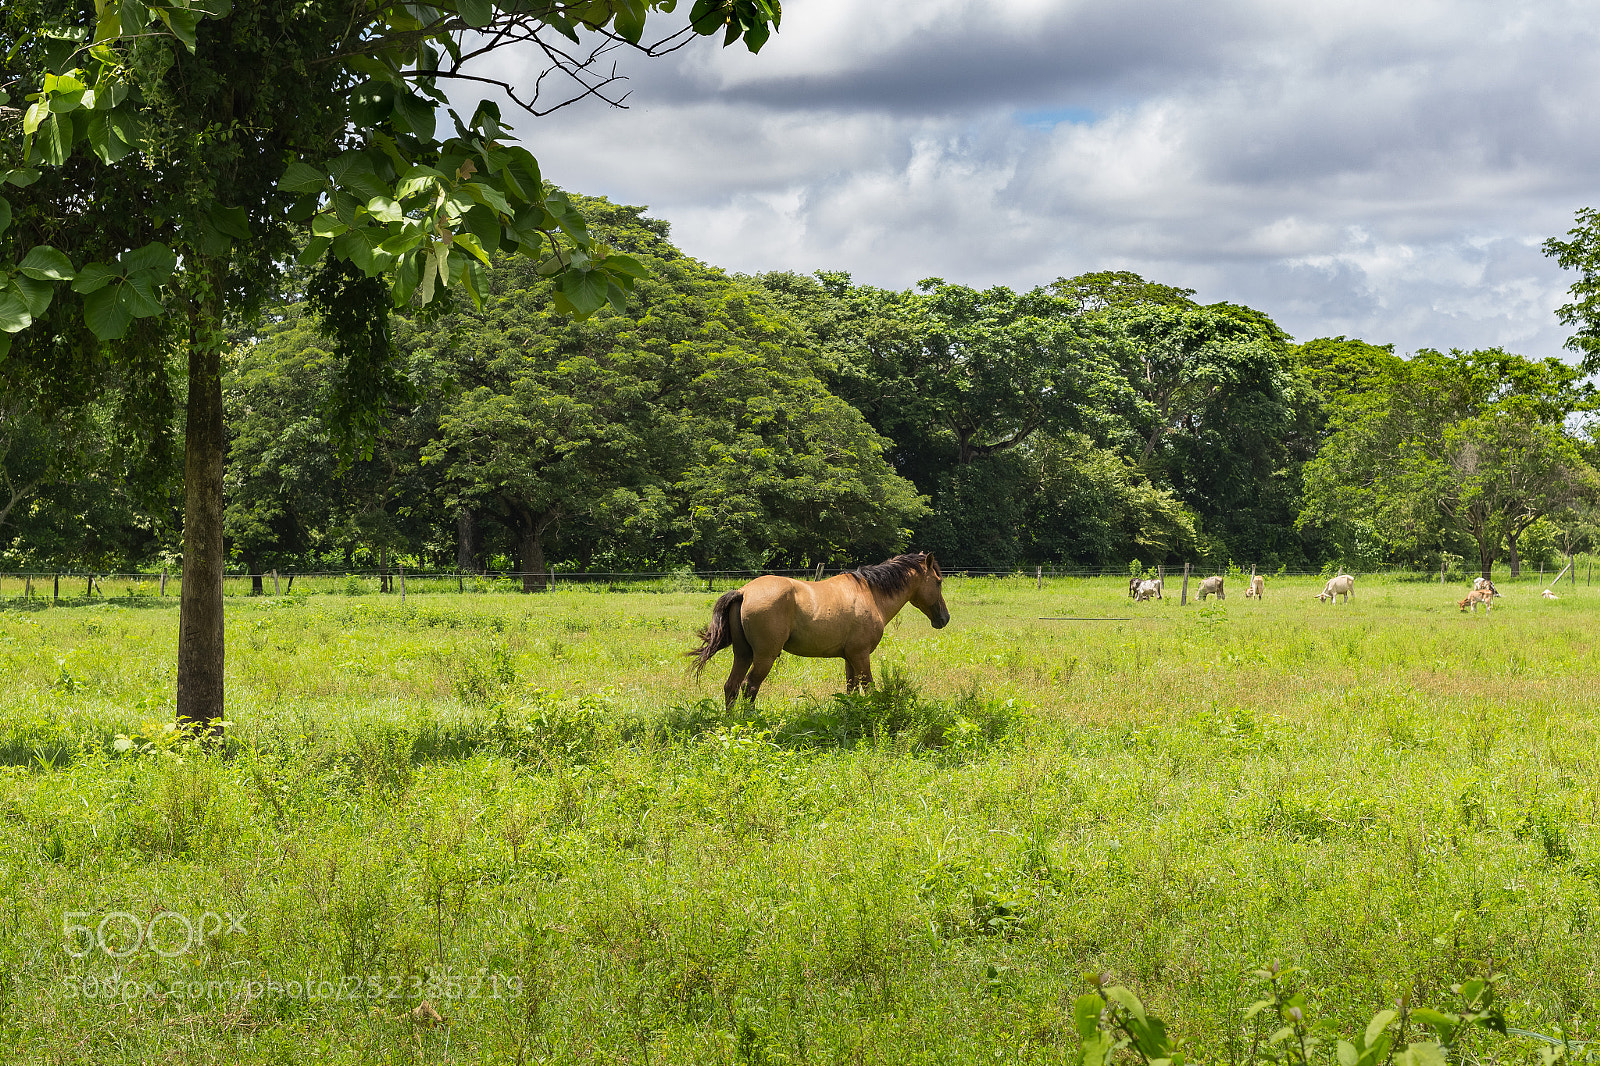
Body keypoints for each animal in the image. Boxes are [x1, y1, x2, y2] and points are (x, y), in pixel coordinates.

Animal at [688, 552, 951, 709]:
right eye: (938, 582)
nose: (944, 619)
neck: (870, 593)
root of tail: (743, 591)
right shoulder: (861, 656)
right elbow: (869, 687)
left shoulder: (850, 657)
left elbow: (851, 689)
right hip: (764, 656)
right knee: (749, 687)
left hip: (743, 654)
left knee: (731, 687)